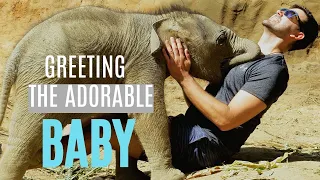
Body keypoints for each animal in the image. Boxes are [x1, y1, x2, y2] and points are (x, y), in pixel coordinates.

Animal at [0, 4, 260, 179]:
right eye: (221, 39)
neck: (159, 20)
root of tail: (17, 52)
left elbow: (122, 117)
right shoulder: (143, 61)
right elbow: (147, 113)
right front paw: (173, 177)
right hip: (44, 78)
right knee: (25, 136)